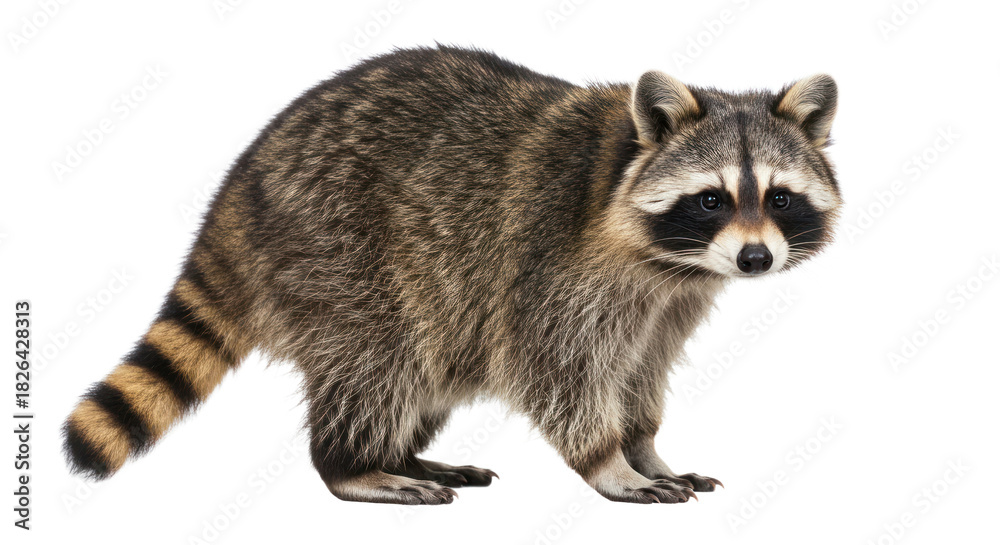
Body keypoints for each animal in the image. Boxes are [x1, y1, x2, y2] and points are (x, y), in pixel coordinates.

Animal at [63, 45, 840, 505]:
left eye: (778, 198)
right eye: (712, 199)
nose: (755, 259)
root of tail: (240, 185)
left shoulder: (670, 299)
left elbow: (641, 368)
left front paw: (645, 445)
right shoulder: (555, 264)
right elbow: (558, 365)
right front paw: (608, 460)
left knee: (426, 363)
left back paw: (404, 452)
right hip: (333, 244)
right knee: (379, 355)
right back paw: (354, 464)